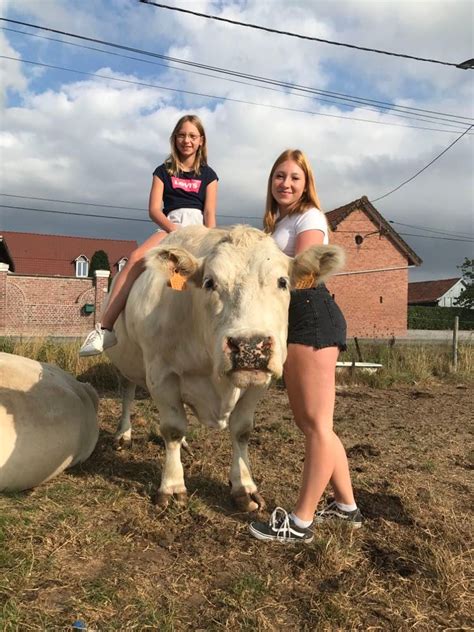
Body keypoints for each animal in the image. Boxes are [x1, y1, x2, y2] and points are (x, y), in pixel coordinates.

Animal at [107, 225, 344, 512]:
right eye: (209, 282)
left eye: (282, 282)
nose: (250, 346)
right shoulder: (161, 374)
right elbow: (172, 428)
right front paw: (173, 486)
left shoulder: (260, 382)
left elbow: (241, 431)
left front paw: (244, 486)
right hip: (124, 363)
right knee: (128, 393)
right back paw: (123, 434)